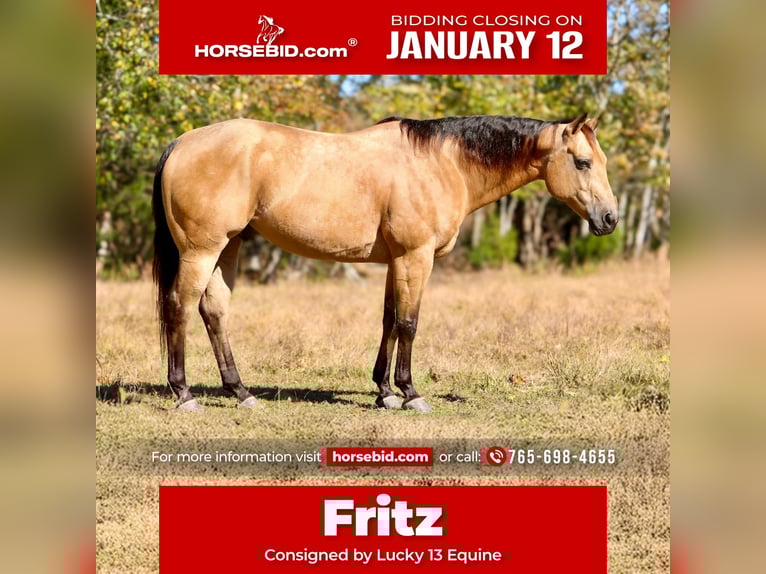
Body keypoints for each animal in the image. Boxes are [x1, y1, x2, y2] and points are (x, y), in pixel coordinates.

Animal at [152, 113, 618, 412]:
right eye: (582, 162)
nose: (610, 218)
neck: (442, 163)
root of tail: (182, 142)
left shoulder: (397, 261)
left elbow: (389, 320)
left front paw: (384, 391)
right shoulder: (416, 257)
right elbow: (409, 323)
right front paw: (410, 393)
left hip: (227, 248)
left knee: (214, 311)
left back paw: (241, 392)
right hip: (202, 250)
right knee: (179, 307)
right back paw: (184, 394)